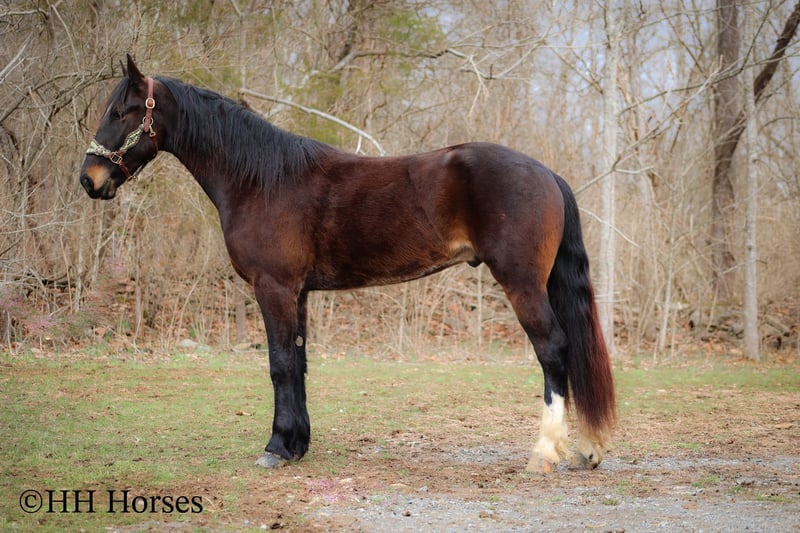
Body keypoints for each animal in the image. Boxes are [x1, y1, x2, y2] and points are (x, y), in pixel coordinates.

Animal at [80, 55, 615, 473]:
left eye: (122, 111)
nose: (90, 178)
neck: (261, 180)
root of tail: (546, 173)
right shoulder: (297, 292)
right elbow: (297, 363)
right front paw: (297, 445)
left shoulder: (273, 287)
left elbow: (278, 365)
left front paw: (276, 448)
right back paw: (587, 450)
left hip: (522, 284)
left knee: (553, 350)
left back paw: (545, 452)